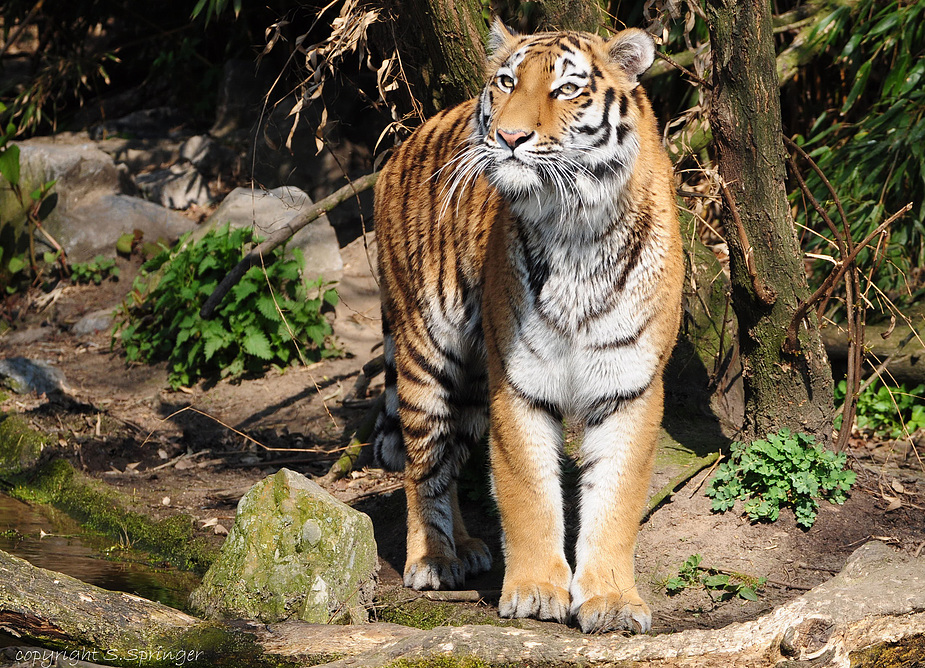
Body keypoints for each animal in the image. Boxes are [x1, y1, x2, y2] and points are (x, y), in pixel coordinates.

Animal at [372, 20, 684, 636]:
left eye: (565, 90)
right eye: (507, 81)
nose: (509, 135)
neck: (577, 231)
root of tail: (402, 144)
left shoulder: (631, 386)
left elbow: (614, 500)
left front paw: (612, 600)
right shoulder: (518, 383)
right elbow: (528, 494)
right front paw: (538, 591)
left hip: (471, 382)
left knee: (452, 456)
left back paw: (466, 548)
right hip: (427, 353)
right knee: (425, 466)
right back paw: (434, 559)